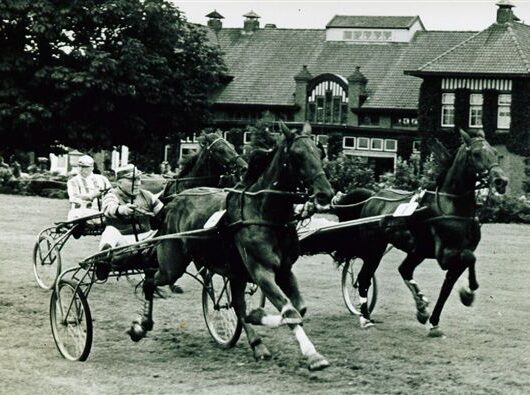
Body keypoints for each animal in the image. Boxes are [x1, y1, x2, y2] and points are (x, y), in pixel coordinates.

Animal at [328, 130, 506, 338]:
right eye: (476, 154)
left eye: (495, 152)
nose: (501, 181)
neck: (451, 206)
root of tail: (372, 197)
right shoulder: (445, 255)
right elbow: (470, 257)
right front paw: (468, 293)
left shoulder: (451, 256)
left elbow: (447, 288)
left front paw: (435, 322)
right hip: (375, 249)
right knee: (364, 279)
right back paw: (365, 318)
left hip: (416, 251)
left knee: (404, 269)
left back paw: (419, 306)